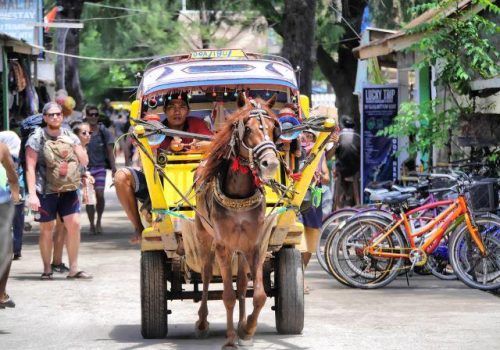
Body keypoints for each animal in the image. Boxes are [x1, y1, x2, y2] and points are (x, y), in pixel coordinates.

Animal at [194, 94, 282, 348]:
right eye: (247, 128)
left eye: (273, 128)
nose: (271, 163)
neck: (239, 194)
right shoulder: (223, 246)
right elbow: (228, 296)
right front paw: (231, 338)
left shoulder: (254, 245)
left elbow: (259, 295)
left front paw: (247, 329)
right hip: (204, 236)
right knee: (205, 274)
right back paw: (202, 322)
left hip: (240, 248)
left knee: (242, 283)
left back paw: (242, 322)